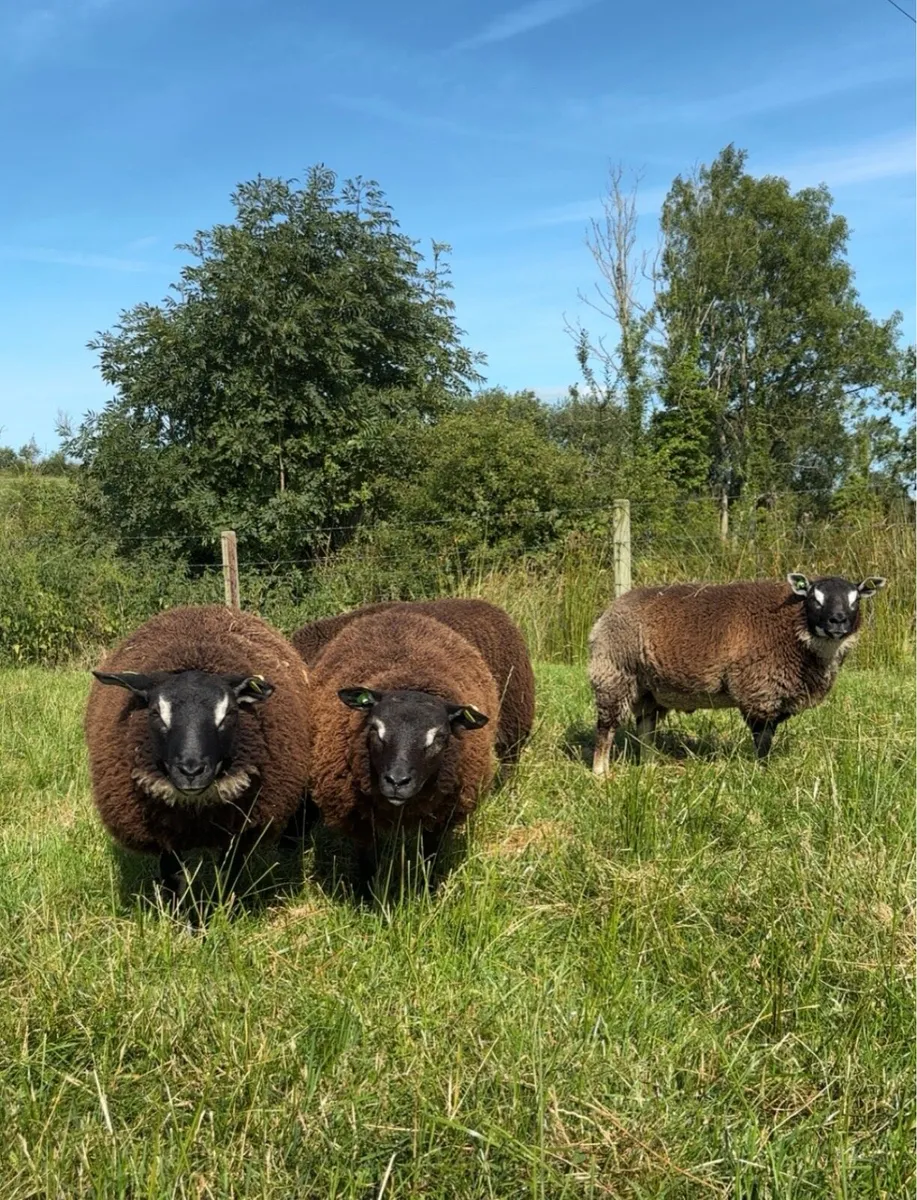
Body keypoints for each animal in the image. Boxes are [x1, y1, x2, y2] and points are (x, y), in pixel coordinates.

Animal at [85, 604, 311, 910]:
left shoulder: (238, 828)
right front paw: (178, 918)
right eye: (155, 713)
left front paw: (221, 911)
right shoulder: (165, 833)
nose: (191, 771)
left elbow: (227, 874)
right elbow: (173, 877)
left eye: (229, 713)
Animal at [304, 609, 499, 891]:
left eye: (439, 736)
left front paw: (426, 891)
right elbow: (367, 860)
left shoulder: (441, 816)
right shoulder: (359, 817)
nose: (397, 781)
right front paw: (368, 896)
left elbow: (430, 856)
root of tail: (395, 613)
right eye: (375, 728)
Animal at [588, 572, 887, 771]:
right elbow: (762, 740)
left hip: (650, 689)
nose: (838, 621)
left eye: (855, 600)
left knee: (645, 728)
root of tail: (609, 609)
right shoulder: (759, 691)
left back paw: (648, 767)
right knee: (606, 727)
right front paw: (762, 774)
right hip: (613, 673)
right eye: (815, 599)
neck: (792, 626)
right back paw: (601, 773)